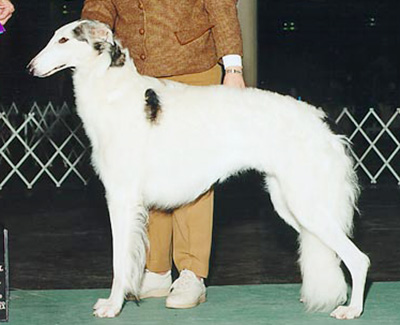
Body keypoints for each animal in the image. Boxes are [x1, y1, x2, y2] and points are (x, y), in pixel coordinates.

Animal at [28, 20, 370, 318]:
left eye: (63, 40)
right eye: (55, 37)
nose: (30, 67)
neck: (114, 92)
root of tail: (323, 123)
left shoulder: (122, 198)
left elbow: (119, 261)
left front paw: (112, 306)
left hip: (306, 203)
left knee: (359, 259)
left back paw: (351, 309)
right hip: (289, 203)